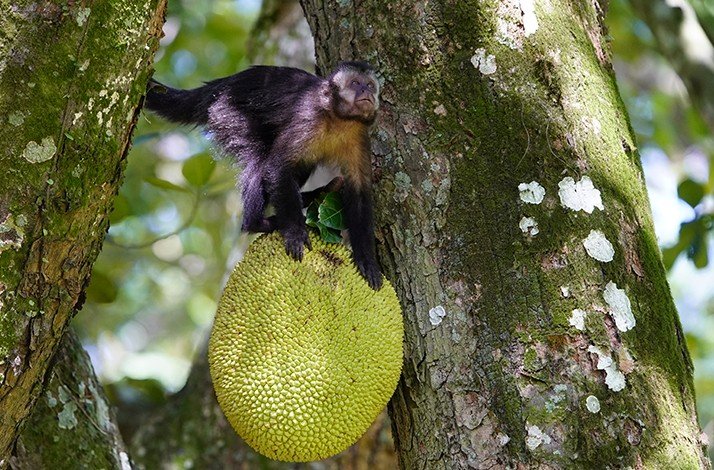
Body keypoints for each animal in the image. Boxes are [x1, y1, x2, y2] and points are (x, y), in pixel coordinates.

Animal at [144, 61, 383, 290]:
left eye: (370, 85)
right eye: (355, 83)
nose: (366, 91)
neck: (339, 120)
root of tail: (223, 85)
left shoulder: (359, 136)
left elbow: (359, 191)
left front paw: (367, 258)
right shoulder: (308, 118)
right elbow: (277, 167)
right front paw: (294, 231)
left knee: (301, 166)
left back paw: (311, 196)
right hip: (227, 113)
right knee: (259, 161)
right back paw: (258, 223)